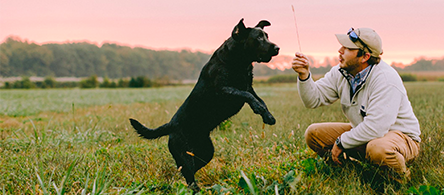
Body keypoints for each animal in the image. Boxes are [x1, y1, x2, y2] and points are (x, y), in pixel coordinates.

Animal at [130, 18, 280, 190]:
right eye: (259, 38)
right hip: (185, 154)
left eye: (267, 36)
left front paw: (268, 116)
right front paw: (259, 109)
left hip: (206, 152)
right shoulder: (224, 90)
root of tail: (171, 125)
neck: (238, 61)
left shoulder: (249, 86)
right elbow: (247, 96)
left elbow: (259, 99)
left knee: (187, 171)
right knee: (188, 175)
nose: (277, 48)